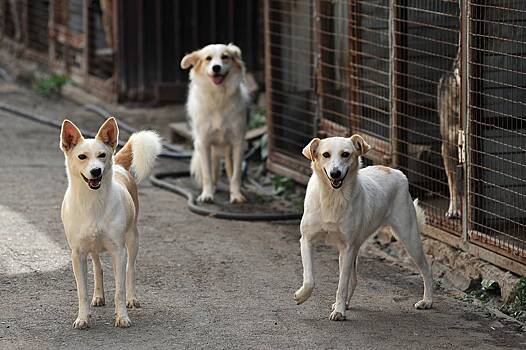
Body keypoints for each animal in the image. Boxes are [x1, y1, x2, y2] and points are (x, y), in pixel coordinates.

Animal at [59, 117, 161, 328]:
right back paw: (98, 296)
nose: (96, 171)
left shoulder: (118, 252)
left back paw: (131, 298)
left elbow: (119, 290)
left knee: (130, 270)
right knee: (98, 268)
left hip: (133, 239)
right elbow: (82, 292)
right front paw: (83, 318)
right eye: (82, 157)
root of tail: (120, 166)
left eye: (102, 155)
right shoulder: (77, 254)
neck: (93, 201)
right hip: (93, 248)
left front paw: (122, 316)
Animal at [180, 42, 251, 204]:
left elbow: (236, 173)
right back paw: (213, 187)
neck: (218, 96)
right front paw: (207, 194)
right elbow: (207, 173)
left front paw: (236, 194)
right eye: (208, 58)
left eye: (225, 57)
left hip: (227, 147)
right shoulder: (204, 142)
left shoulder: (238, 142)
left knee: (229, 168)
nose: (216, 67)